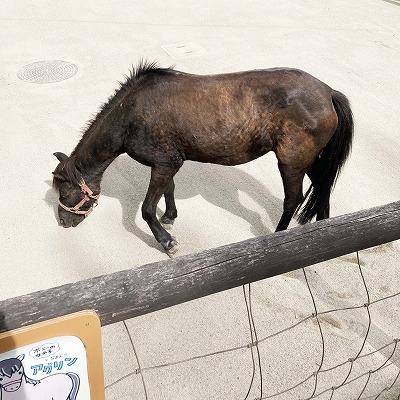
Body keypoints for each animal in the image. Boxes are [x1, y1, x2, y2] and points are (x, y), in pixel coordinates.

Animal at [52, 61, 354, 256]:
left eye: (65, 193)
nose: (63, 223)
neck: (132, 114)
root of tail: (328, 92)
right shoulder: (168, 162)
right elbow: (169, 190)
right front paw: (169, 216)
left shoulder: (164, 164)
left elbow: (147, 209)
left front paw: (167, 241)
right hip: (309, 159)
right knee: (323, 186)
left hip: (291, 161)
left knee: (293, 198)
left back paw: (277, 236)